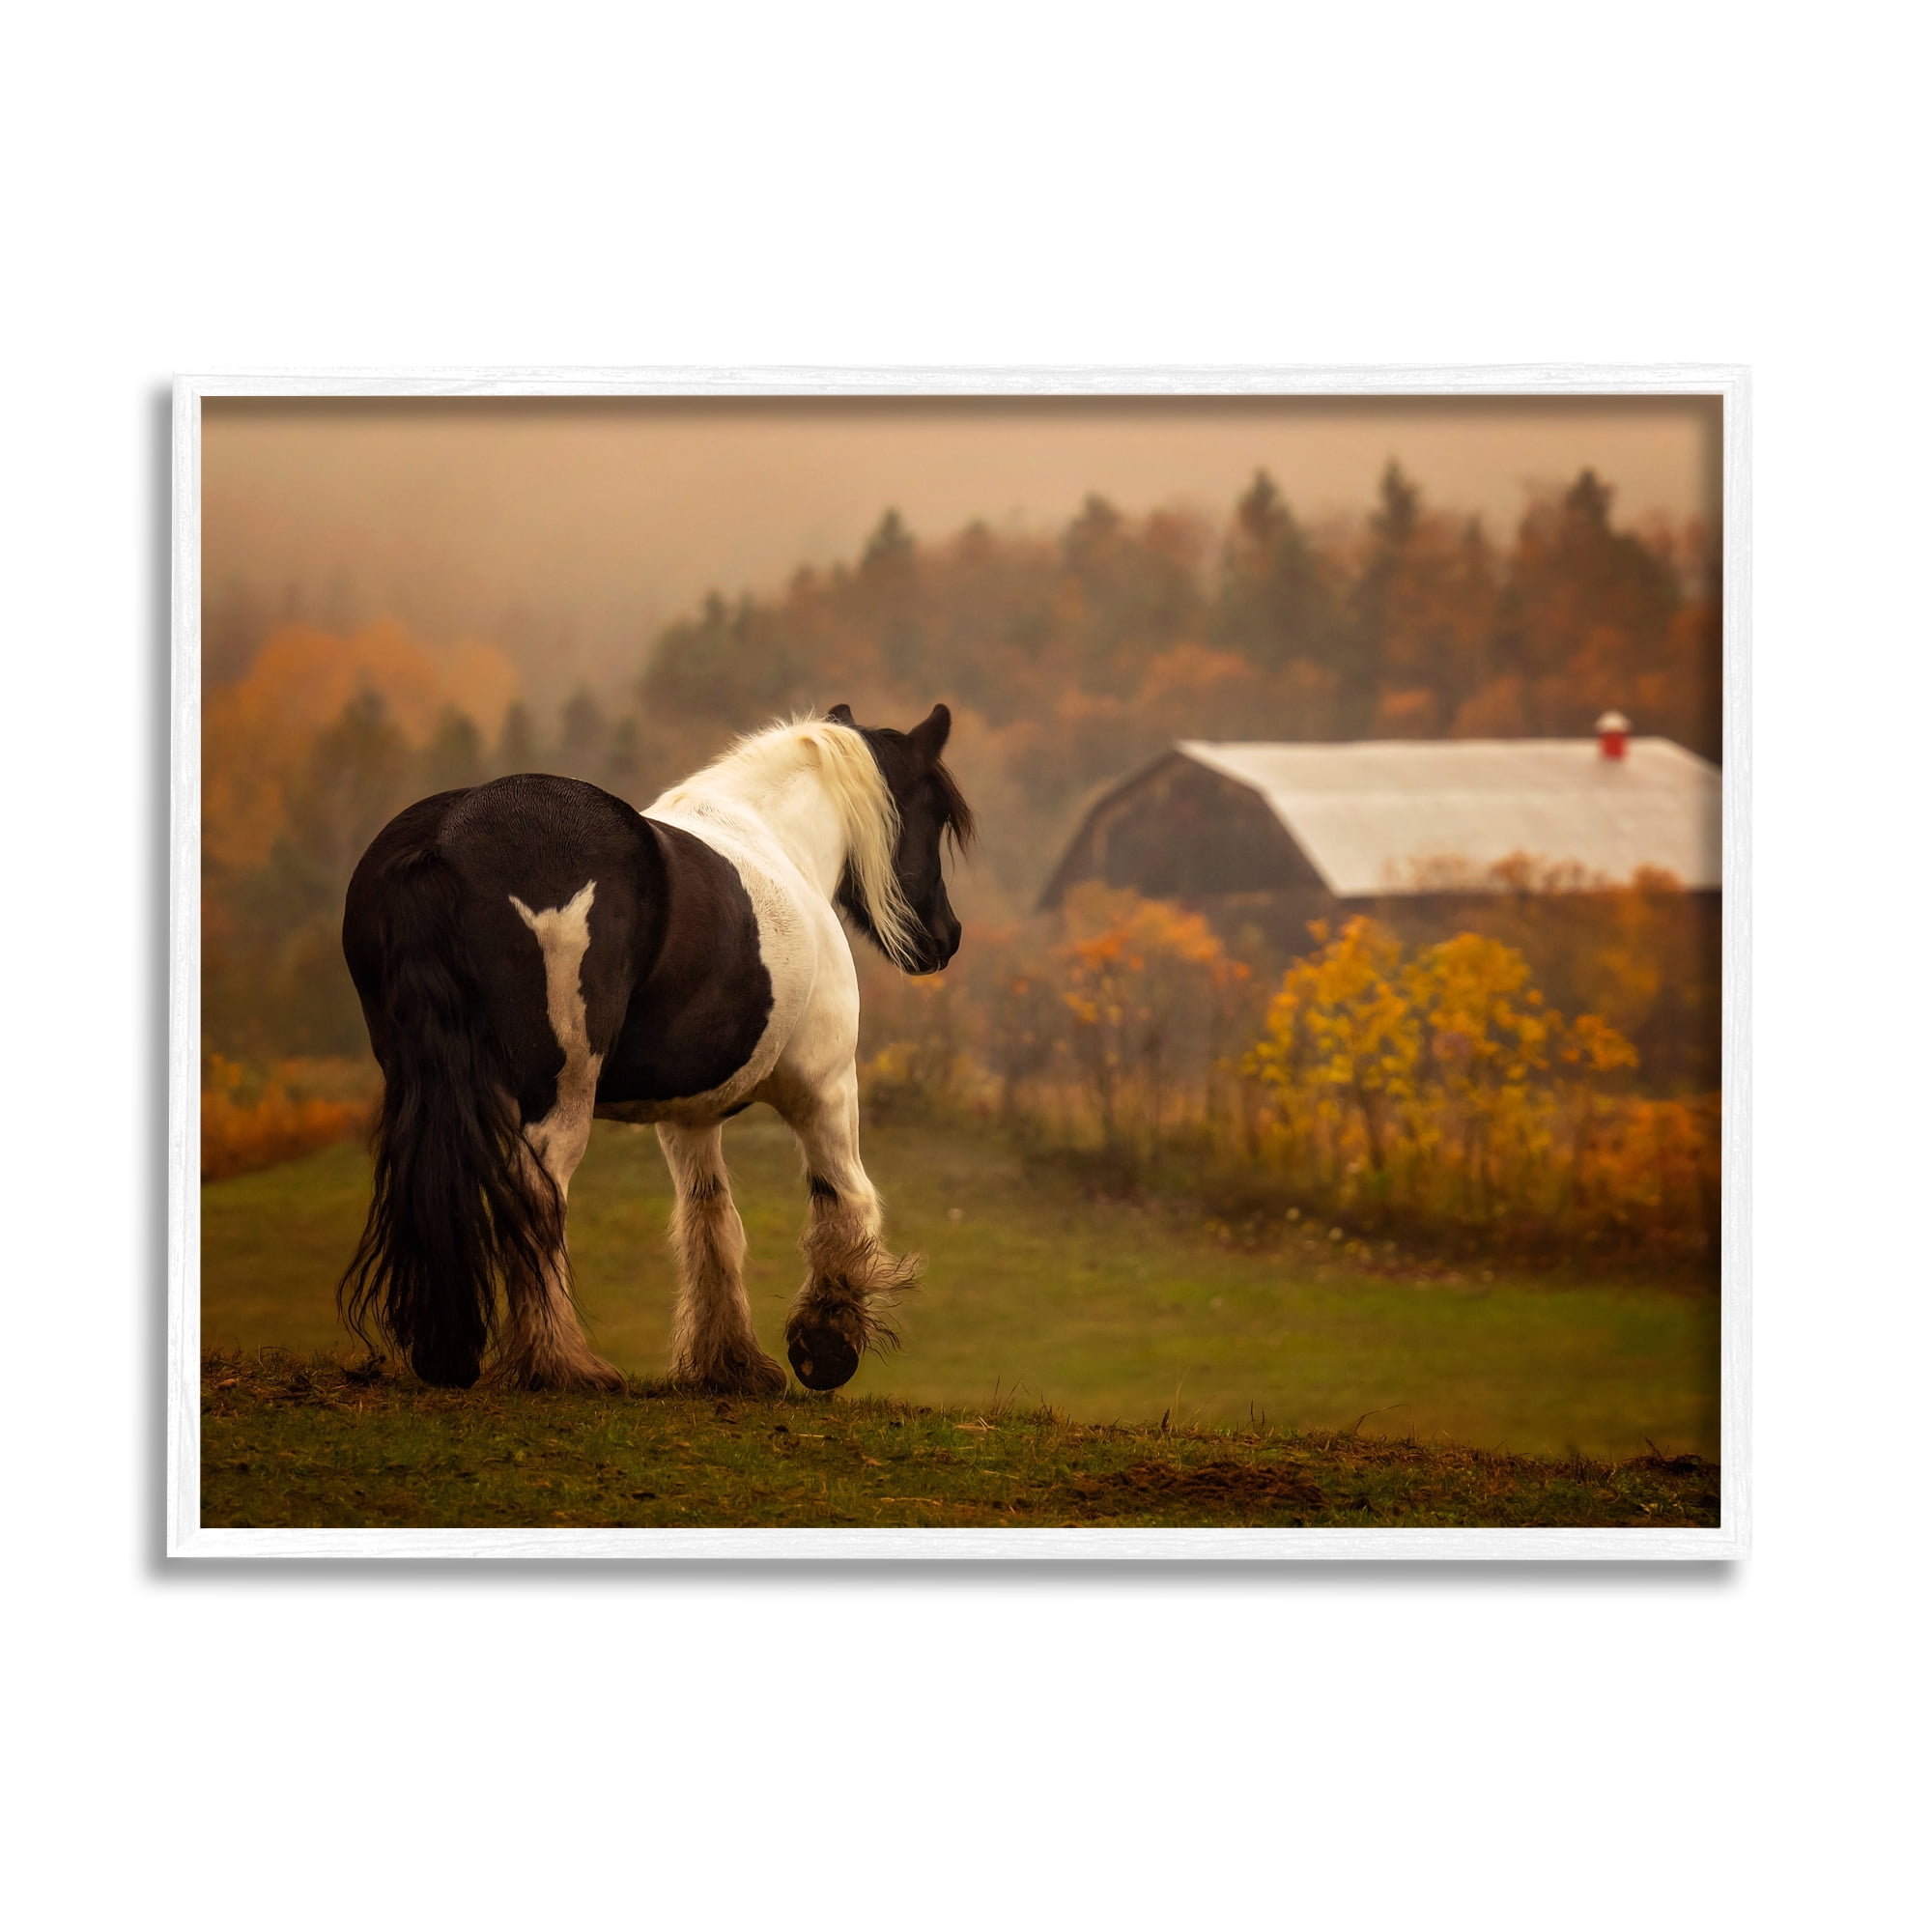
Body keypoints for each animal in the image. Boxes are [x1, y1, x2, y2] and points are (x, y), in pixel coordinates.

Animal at [337, 702, 973, 1397]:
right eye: (935, 813)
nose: (945, 938)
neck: (778, 842)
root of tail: (444, 838)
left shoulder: (689, 1117)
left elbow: (710, 1220)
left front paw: (729, 1363)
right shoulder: (824, 1087)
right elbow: (844, 1199)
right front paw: (826, 1344)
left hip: (422, 1079)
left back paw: (448, 1354)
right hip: (559, 1091)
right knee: (537, 1193)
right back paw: (560, 1363)